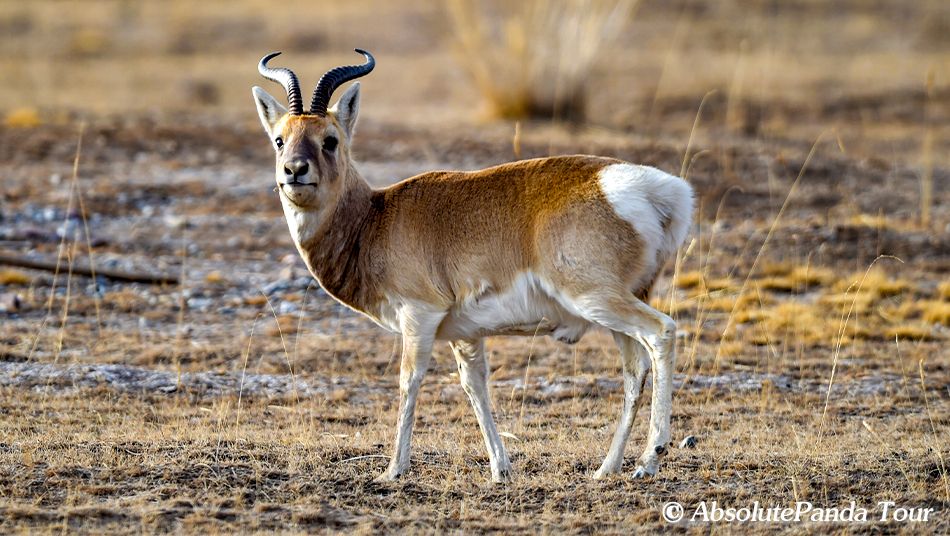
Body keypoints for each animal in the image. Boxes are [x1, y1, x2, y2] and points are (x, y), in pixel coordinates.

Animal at [252, 49, 694, 483]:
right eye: (279, 139)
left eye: (330, 140)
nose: (294, 170)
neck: (376, 218)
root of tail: (659, 191)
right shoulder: (464, 333)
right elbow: (474, 386)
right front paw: (501, 469)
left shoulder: (419, 315)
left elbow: (409, 380)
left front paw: (393, 470)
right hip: (613, 308)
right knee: (635, 369)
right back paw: (608, 468)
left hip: (596, 299)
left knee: (662, 332)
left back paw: (649, 459)